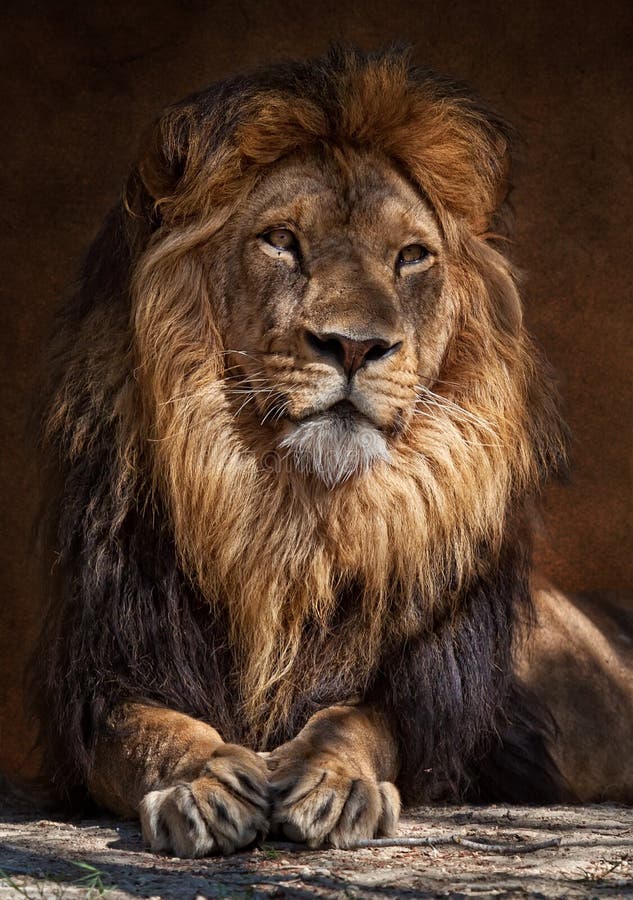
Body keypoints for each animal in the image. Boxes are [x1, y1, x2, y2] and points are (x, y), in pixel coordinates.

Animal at [30, 47, 633, 857]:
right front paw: (203, 784)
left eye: (411, 256)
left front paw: (333, 781)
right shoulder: (105, 683)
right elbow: (148, 732)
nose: (354, 345)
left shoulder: (423, 703)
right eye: (281, 240)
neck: (294, 519)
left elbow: (356, 722)